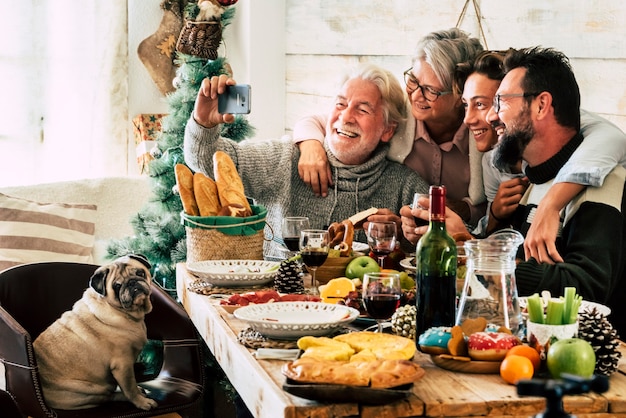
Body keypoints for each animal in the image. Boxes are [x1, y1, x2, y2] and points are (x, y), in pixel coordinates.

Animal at [32, 253, 157, 410]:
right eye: (117, 286)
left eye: (140, 273)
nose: (132, 282)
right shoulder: (123, 365)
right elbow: (130, 387)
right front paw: (141, 402)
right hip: (90, 390)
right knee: (108, 397)